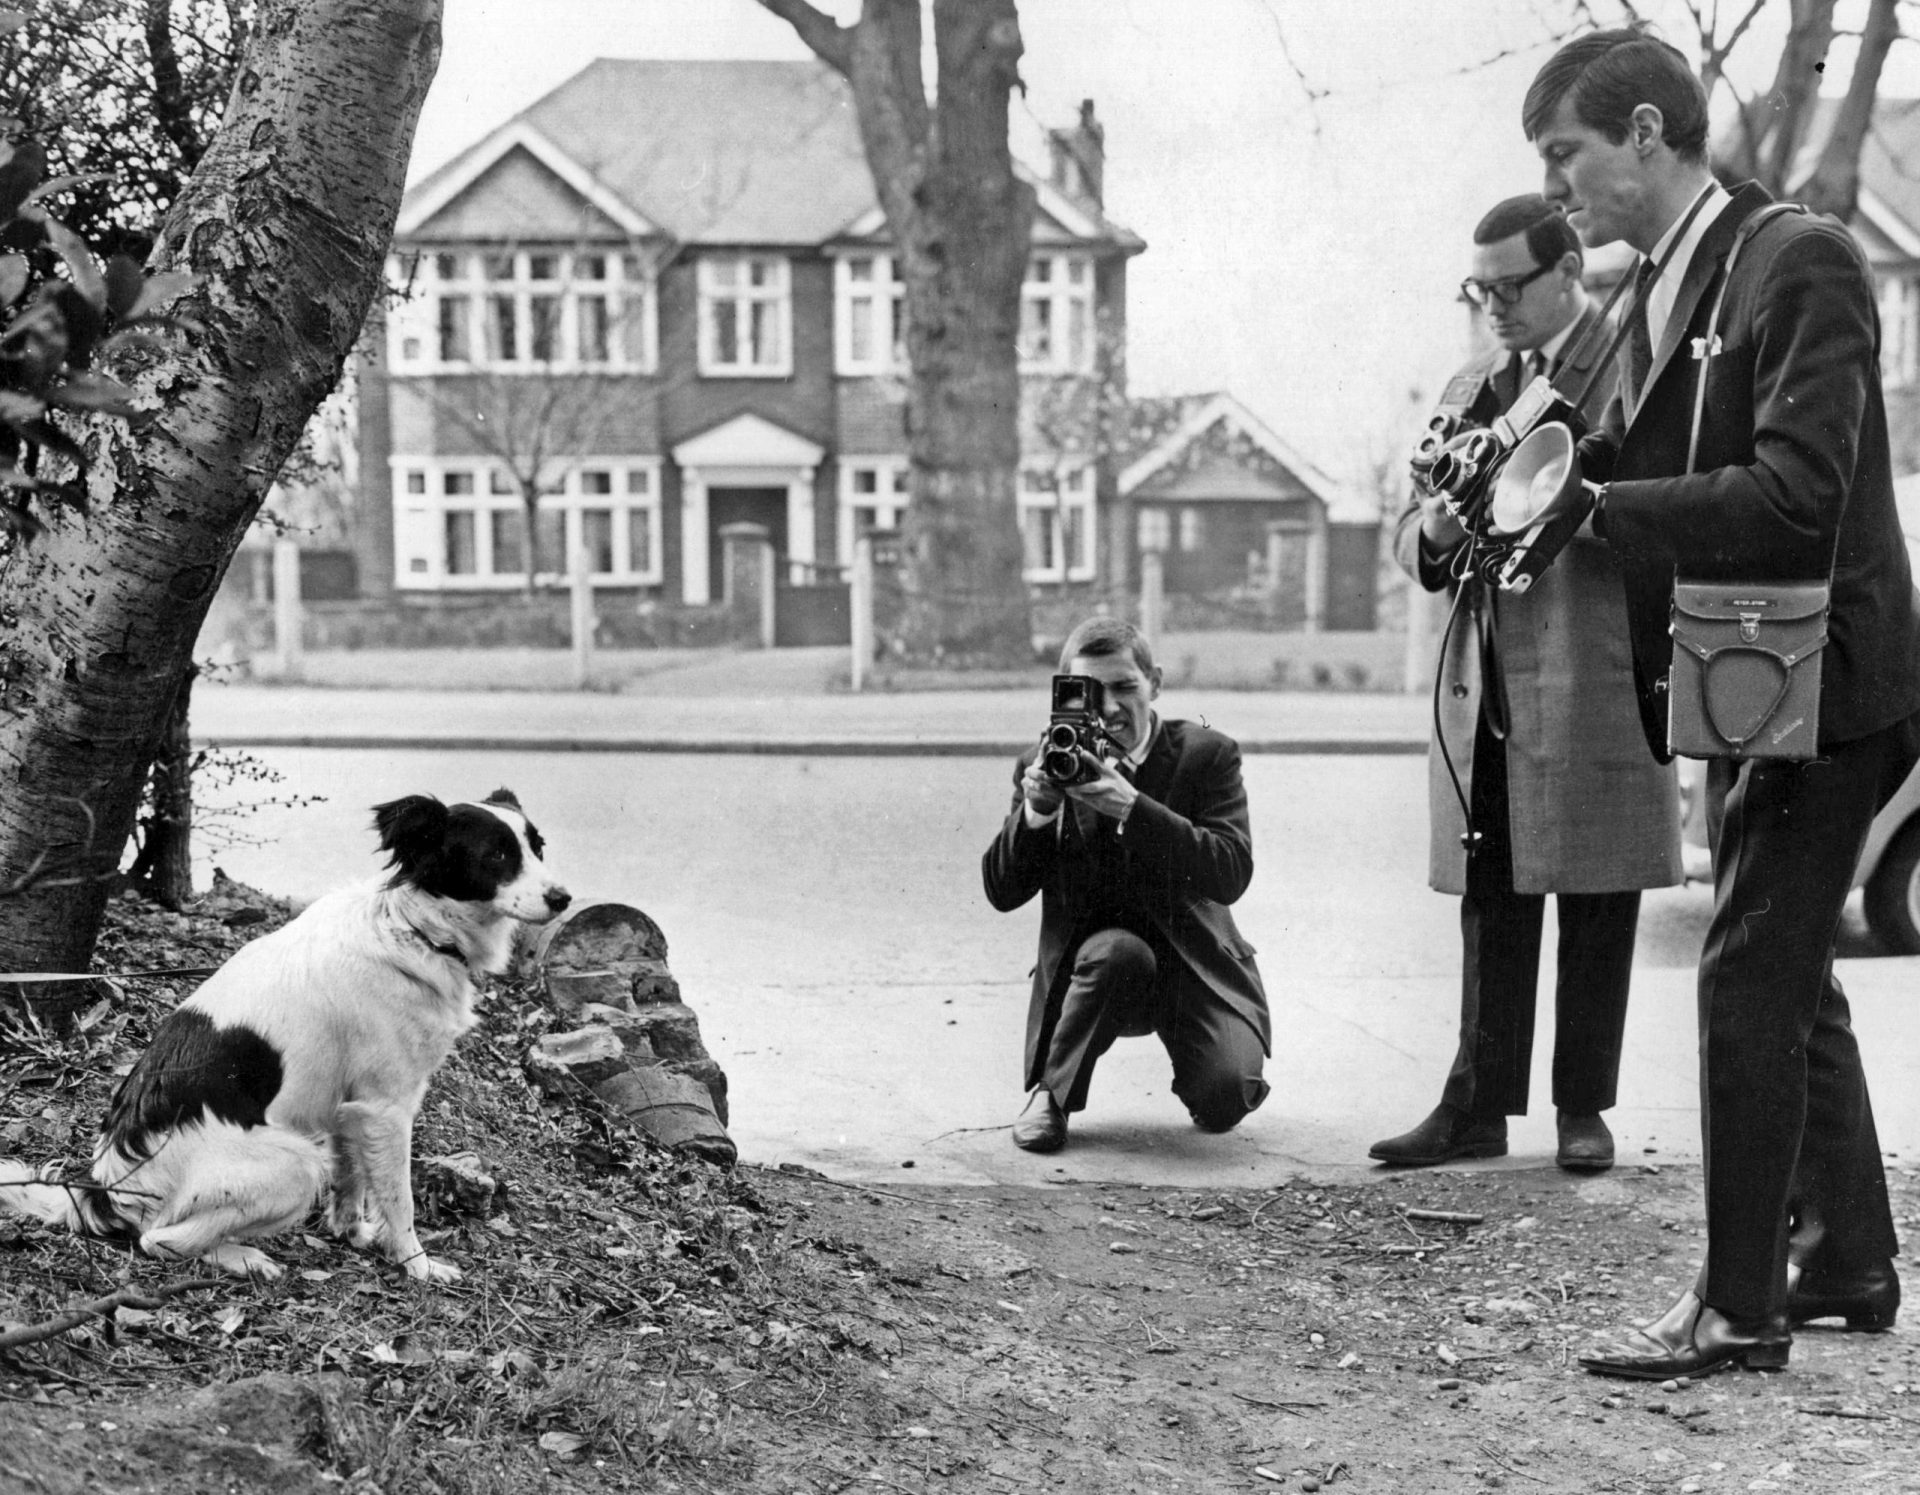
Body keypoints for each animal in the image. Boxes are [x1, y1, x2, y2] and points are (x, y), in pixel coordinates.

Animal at [0, 783, 564, 1289]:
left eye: (538, 847)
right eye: (497, 855)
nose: (564, 897)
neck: (413, 930)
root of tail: (105, 1190)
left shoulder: (350, 1106)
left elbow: (352, 1178)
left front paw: (352, 1232)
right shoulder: (387, 1106)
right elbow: (398, 1199)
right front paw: (416, 1265)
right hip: (295, 1165)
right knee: (158, 1240)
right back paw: (244, 1258)